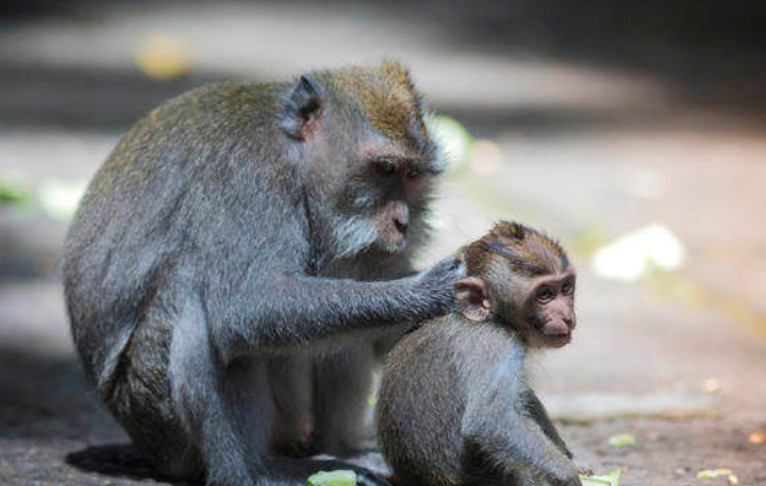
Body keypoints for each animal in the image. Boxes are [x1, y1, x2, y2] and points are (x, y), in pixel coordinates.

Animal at [63, 61, 464, 486]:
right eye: (385, 169)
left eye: (413, 175)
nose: (404, 223)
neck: (293, 156)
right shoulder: (250, 179)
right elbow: (246, 306)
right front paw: (426, 290)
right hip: (157, 422)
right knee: (196, 304)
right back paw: (251, 473)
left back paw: (339, 450)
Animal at [376, 221, 584, 486]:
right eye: (544, 295)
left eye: (565, 288)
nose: (566, 317)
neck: (494, 319)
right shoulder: (492, 343)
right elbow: (490, 420)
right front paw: (568, 475)